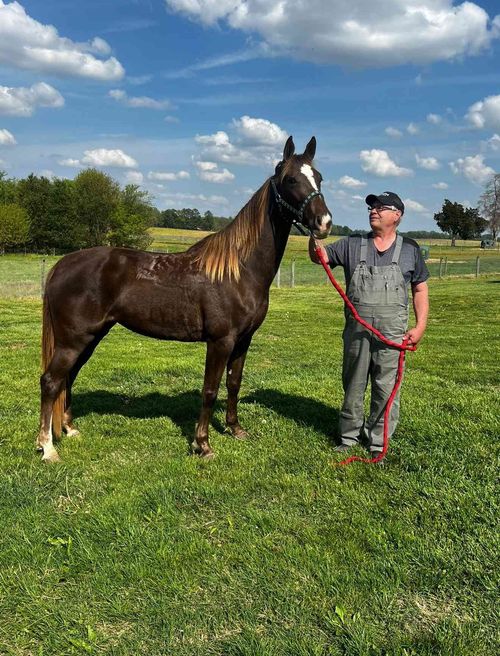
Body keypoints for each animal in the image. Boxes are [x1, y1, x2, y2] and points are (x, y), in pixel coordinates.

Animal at [37, 136, 332, 462]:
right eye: (291, 179)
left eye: (319, 178)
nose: (324, 222)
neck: (239, 269)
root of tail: (62, 264)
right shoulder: (220, 341)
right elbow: (210, 390)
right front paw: (202, 444)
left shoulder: (244, 340)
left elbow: (233, 383)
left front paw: (235, 429)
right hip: (73, 341)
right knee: (50, 381)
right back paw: (47, 448)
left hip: (90, 337)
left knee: (69, 377)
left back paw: (69, 429)